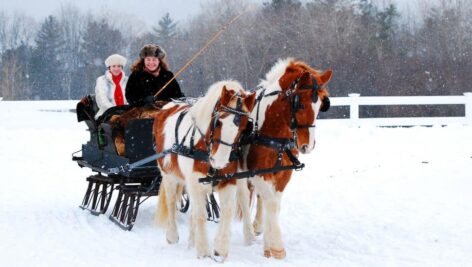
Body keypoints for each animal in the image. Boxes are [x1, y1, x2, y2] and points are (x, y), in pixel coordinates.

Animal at [154, 81, 258, 262]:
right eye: (218, 122)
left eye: (244, 126)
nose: (220, 161)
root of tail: (167, 105)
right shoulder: (195, 182)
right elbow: (201, 215)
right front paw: (203, 251)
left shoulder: (229, 180)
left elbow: (227, 211)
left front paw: (220, 248)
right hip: (168, 174)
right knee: (172, 201)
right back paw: (173, 235)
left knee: (243, 199)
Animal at [236, 58, 332, 260]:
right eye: (300, 104)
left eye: (321, 105)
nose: (307, 145)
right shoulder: (257, 173)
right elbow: (271, 203)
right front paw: (277, 247)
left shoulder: (283, 175)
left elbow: (274, 204)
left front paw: (268, 245)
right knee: (243, 196)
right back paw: (249, 234)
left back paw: (258, 227)